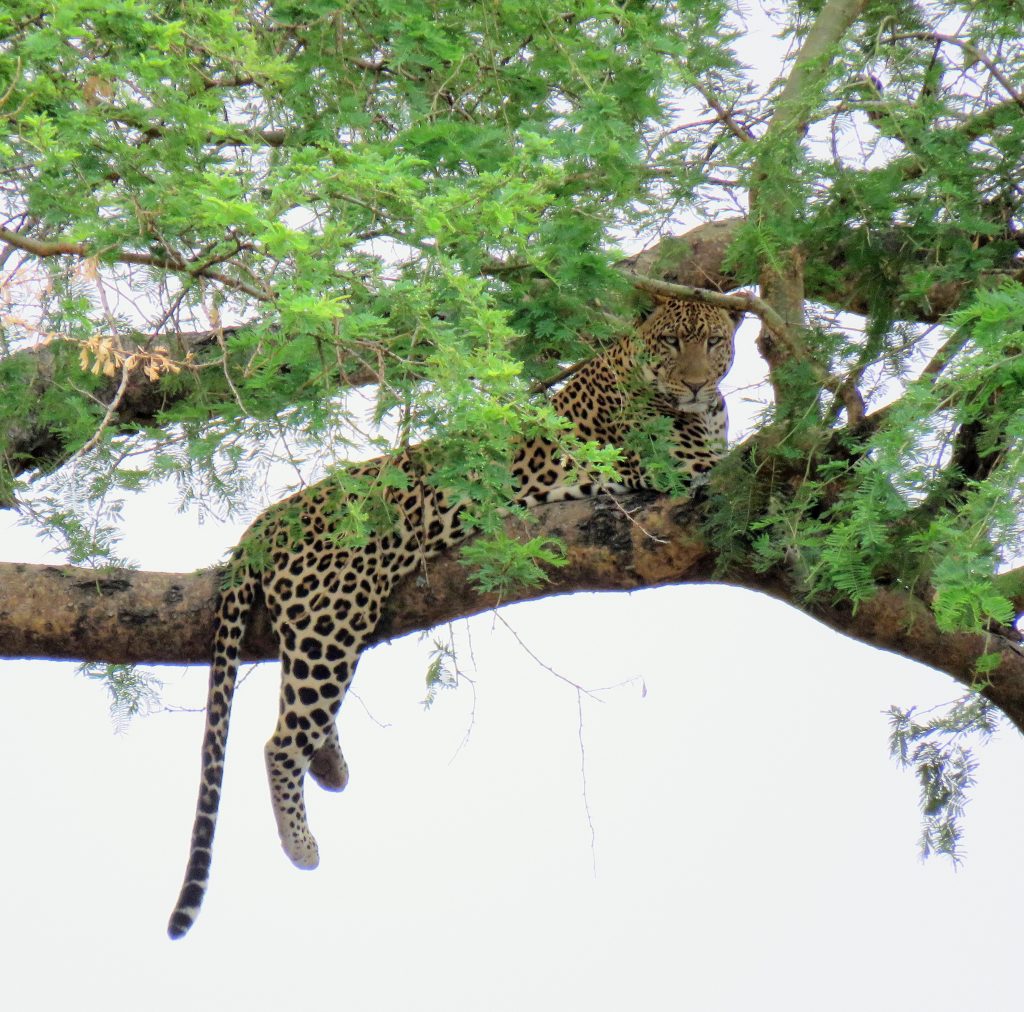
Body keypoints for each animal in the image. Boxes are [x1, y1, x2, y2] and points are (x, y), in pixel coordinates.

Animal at [169, 294, 745, 942]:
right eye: (671, 342)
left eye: (713, 342)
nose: (695, 384)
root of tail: (266, 521)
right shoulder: (683, 465)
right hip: (332, 612)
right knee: (282, 740)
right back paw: (301, 843)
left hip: (324, 619)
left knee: (299, 702)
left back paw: (332, 766)